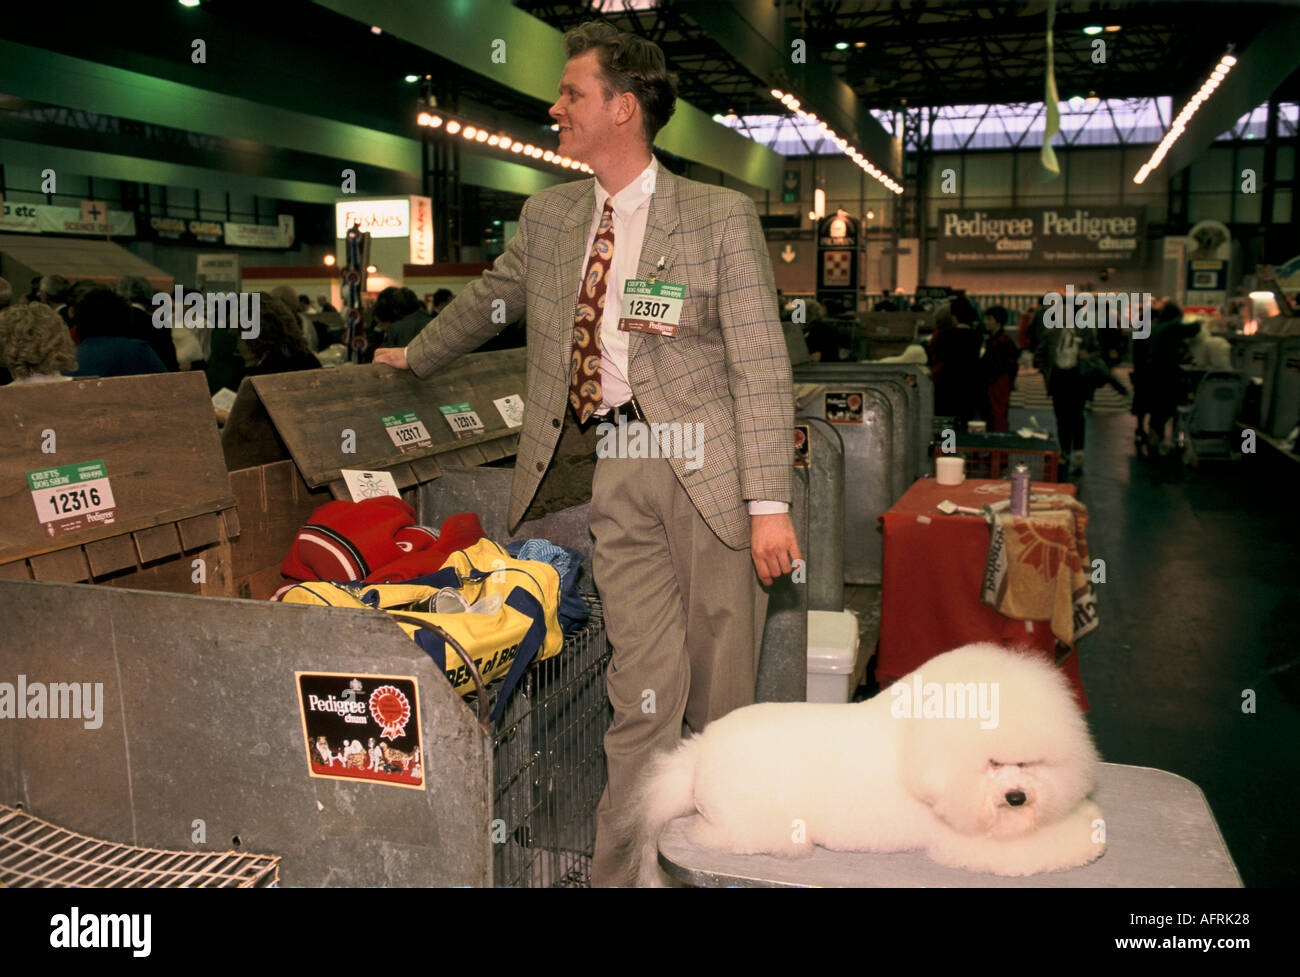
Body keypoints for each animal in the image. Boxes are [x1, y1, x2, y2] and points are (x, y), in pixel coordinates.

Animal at [616, 641, 1097, 883]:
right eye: (993, 762)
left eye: (1031, 763)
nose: (1017, 798)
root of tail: (697, 753)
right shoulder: (969, 842)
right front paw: (1090, 837)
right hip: (749, 821)